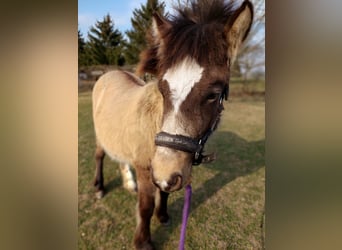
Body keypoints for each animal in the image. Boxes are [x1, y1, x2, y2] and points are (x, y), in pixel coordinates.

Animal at [92, 0, 252, 249]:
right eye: (162, 87)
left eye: (214, 95)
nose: (167, 171)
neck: (155, 124)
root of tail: (108, 74)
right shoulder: (147, 168)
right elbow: (145, 205)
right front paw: (143, 241)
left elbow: (164, 192)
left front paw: (163, 216)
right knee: (99, 155)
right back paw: (99, 188)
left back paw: (128, 183)